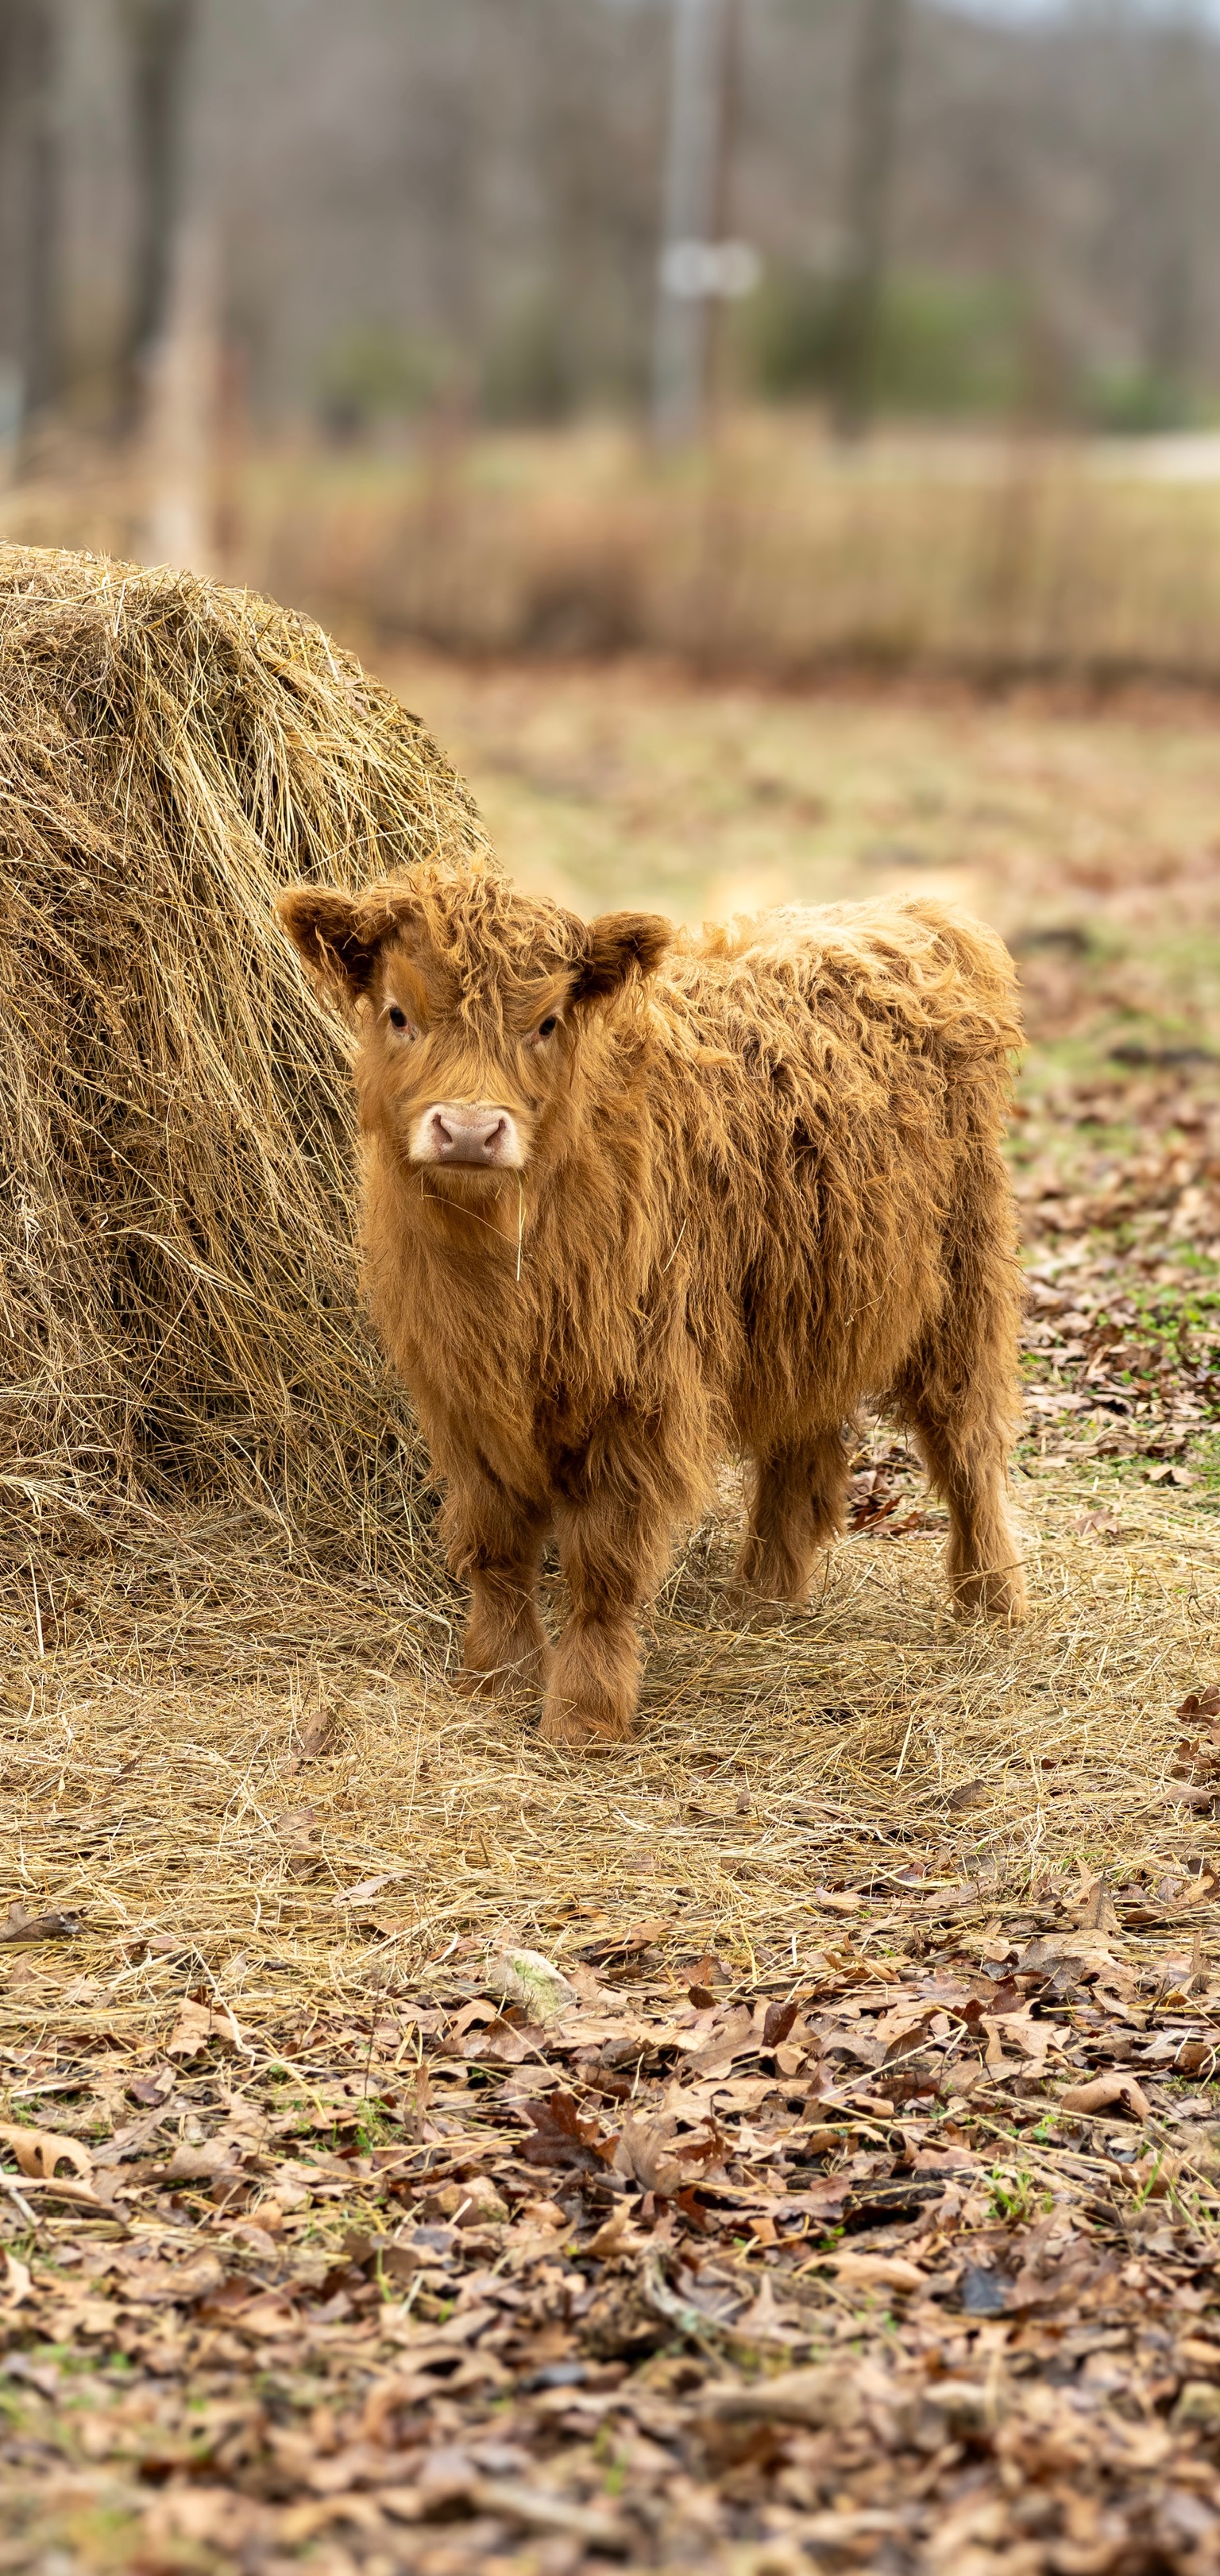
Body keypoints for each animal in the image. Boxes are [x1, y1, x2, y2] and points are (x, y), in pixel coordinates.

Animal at [277, 864, 1027, 1749]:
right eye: (400, 1013)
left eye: (547, 1021)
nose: (467, 1129)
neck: (504, 1279)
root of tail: (911, 912)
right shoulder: (461, 1397)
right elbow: (497, 1549)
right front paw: (494, 1680)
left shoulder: (636, 1395)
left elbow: (604, 1563)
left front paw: (584, 1714)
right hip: (800, 1302)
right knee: (800, 1446)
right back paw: (761, 1598)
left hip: (962, 1280)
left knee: (968, 1441)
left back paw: (992, 1602)